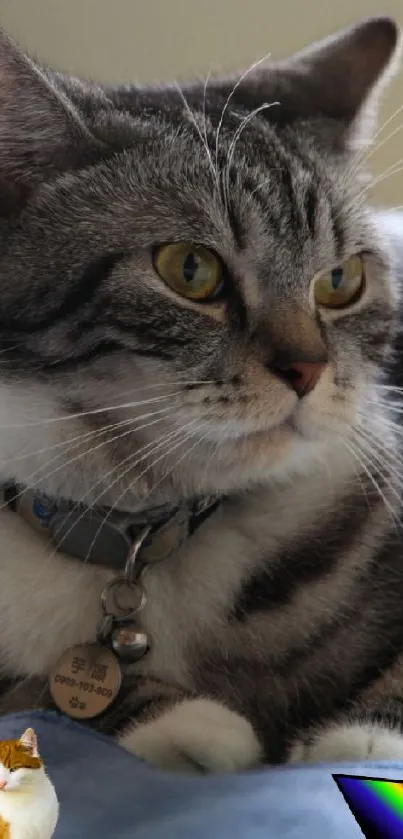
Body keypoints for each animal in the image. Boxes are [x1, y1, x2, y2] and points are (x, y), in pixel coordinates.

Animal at [0, 14, 403, 776]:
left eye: (340, 281)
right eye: (190, 269)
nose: (306, 369)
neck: (147, 535)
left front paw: (365, 737)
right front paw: (184, 723)